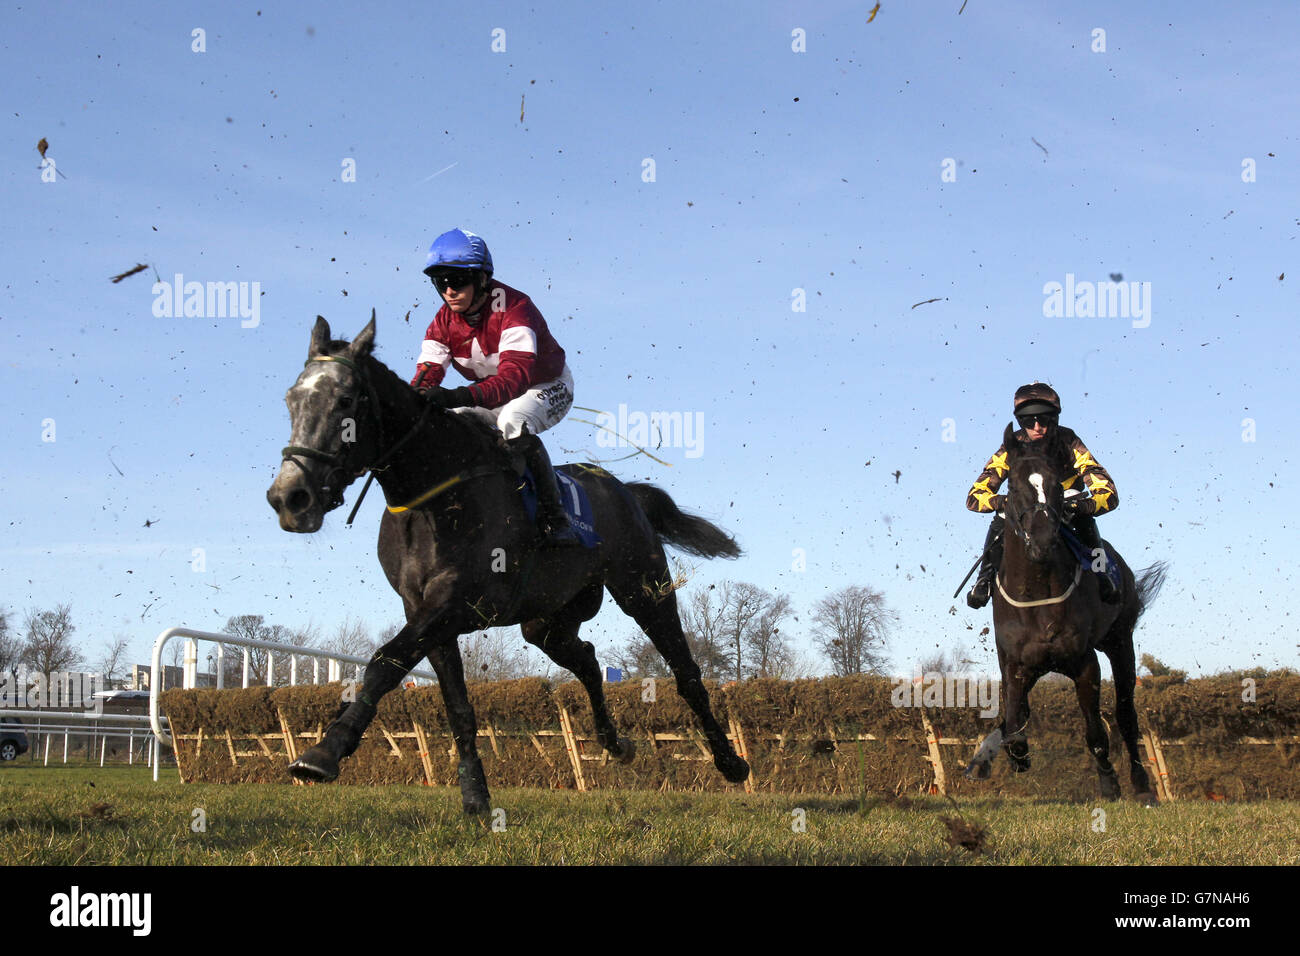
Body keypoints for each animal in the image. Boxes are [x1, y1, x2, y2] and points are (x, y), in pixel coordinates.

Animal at [266, 317, 743, 811]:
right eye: (291, 399)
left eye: (344, 400)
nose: (289, 498)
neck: (435, 491)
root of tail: (625, 490)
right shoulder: (423, 609)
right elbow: (455, 703)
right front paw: (475, 795)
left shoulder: (460, 602)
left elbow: (385, 662)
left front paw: (325, 751)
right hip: (547, 620)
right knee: (588, 658)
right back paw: (615, 744)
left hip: (643, 589)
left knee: (685, 671)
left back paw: (731, 763)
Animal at [967, 426, 1170, 801]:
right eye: (1012, 487)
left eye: (1057, 488)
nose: (1042, 540)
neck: (1037, 595)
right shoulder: (1015, 666)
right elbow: (1014, 719)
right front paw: (1013, 755)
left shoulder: (1084, 663)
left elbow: (1096, 733)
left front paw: (1109, 783)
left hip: (1120, 642)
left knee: (1125, 715)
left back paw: (1141, 786)